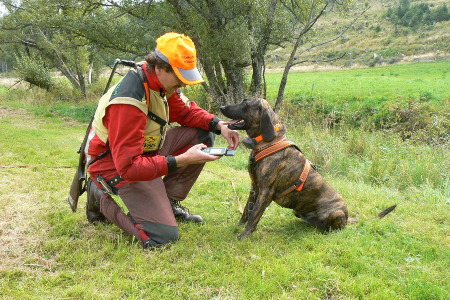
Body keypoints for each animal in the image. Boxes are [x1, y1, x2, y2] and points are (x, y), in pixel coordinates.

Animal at [220, 98, 350, 239]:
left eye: (245, 103)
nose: (221, 107)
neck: (266, 143)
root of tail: (347, 217)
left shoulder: (265, 191)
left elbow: (254, 214)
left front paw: (245, 235)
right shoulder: (254, 187)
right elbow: (247, 210)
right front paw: (239, 226)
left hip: (332, 213)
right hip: (298, 212)